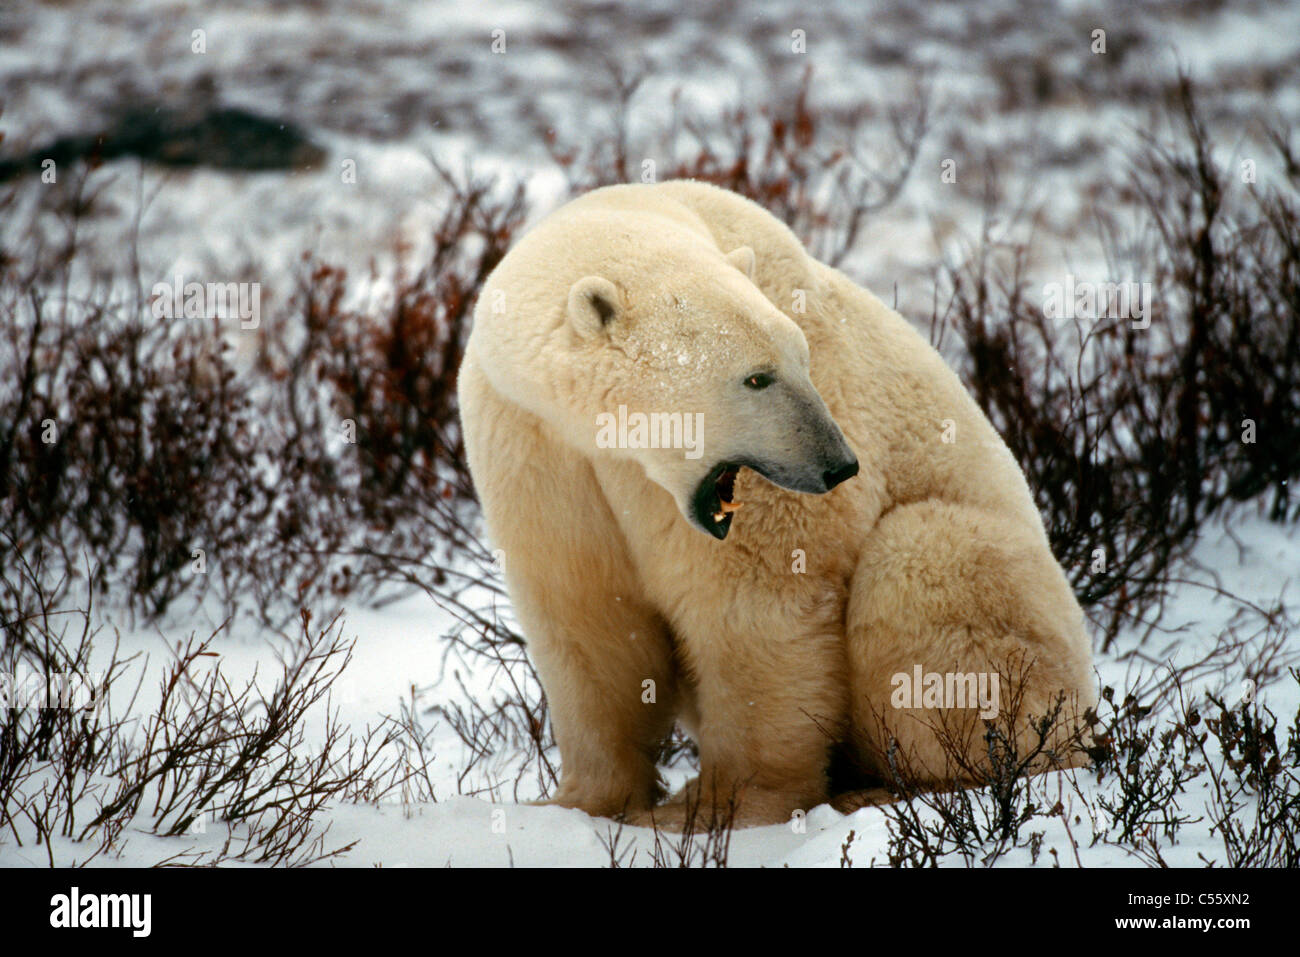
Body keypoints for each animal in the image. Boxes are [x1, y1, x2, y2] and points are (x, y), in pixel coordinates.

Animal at [457, 180, 1097, 832]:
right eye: (757, 378)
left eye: (803, 359)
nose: (839, 464)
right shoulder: (534, 443)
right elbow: (587, 615)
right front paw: (578, 804)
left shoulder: (752, 489)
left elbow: (756, 607)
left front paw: (715, 808)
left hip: (1024, 624)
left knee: (926, 564)